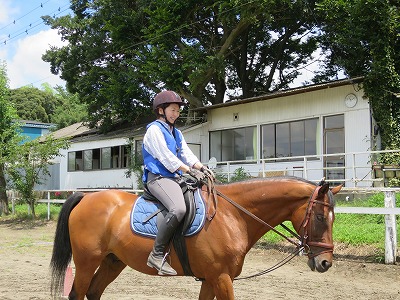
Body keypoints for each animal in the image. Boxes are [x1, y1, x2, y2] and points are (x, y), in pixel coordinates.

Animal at [50, 177, 340, 298]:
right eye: (320, 217)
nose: (325, 263)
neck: (233, 215)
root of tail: (86, 197)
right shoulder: (221, 278)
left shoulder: (211, 279)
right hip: (86, 261)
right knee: (77, 294)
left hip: (112, 261)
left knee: (93, 292)